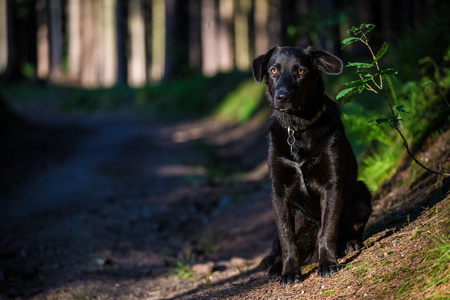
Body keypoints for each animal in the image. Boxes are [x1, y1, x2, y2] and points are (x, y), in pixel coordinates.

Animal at [253, 46, 372, 286]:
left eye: (300, 71)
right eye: (273, 70)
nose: (282, 97)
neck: (297, 128)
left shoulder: (332, 186)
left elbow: (328, 230)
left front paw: (328, 263)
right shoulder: (280, 192)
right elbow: (286, 238)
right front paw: (289, 272)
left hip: (363, 193)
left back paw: (349, 244)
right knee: (281, 248)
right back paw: (277, 266)